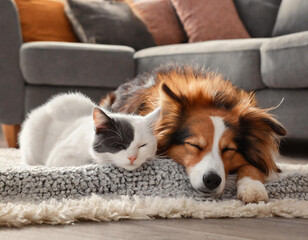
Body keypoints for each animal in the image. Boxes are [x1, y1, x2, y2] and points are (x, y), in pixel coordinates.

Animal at [101, 65, 286, 202]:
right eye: (193, 145)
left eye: (229, 150)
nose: (212, 180)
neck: (215, 99)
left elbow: (251, 166)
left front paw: (253, 188)